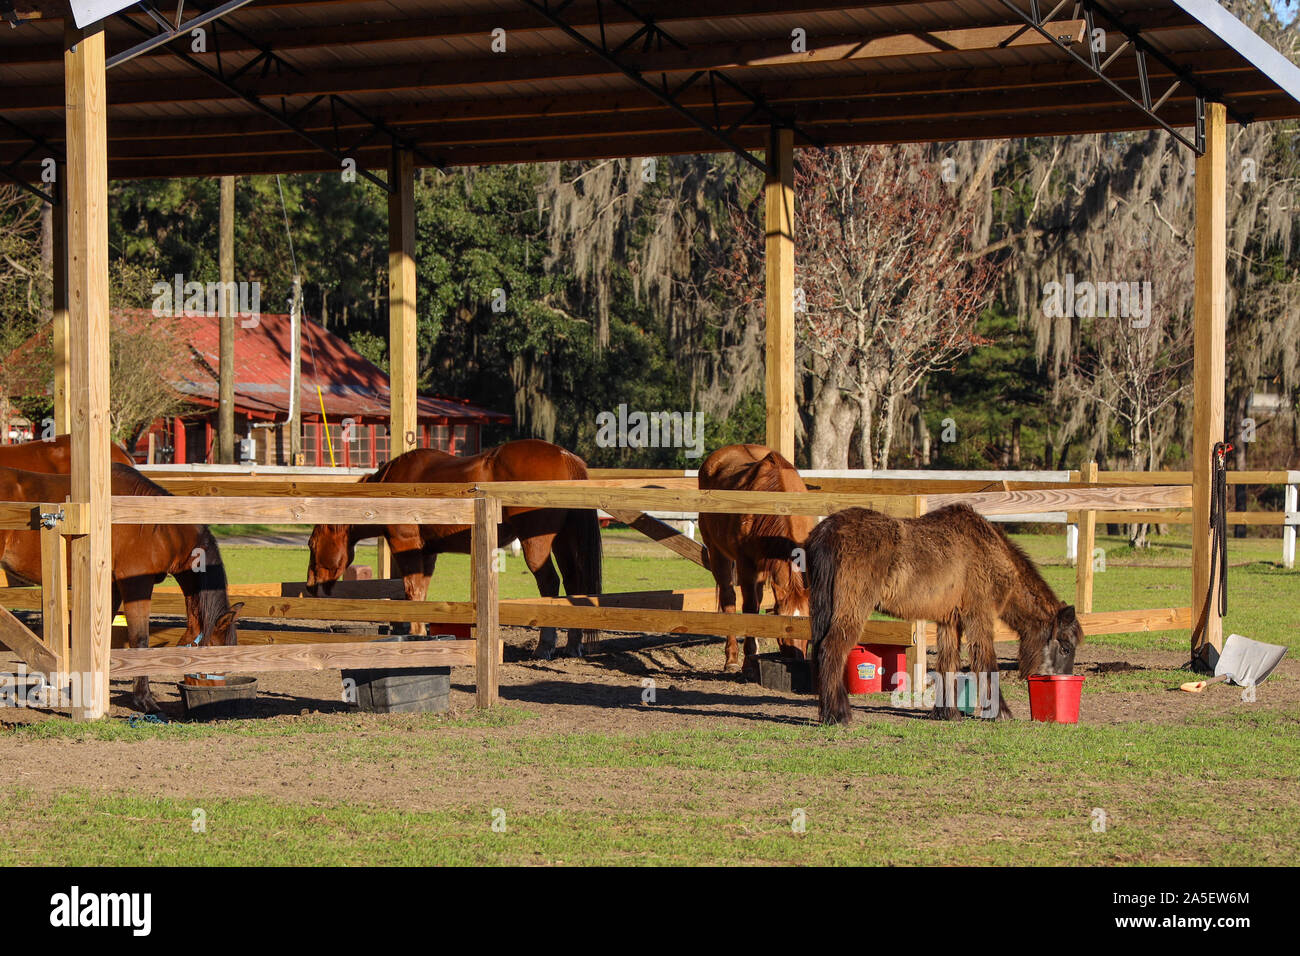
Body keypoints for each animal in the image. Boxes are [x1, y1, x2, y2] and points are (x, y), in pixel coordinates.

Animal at [0, 460, 243, 712]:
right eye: (215, 650)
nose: (215, 698)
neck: (159, 528)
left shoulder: (112, 587)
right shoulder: (137, 584)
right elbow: (139, 638)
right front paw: (144, 700)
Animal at [308, 439, 603, 658]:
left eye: (311, 544)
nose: (310, 585)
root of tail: (564, 456)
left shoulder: (407, 546)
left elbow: (412, 591)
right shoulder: (428, 552)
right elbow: (421, 593)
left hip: (536, 544)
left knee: (550, 583)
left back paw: (545, 646)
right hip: (563, 542)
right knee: (574, 584)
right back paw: (573, 644)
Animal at [702, 447, 811, 676]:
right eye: (784, 624)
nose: (797, 661)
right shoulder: (746, 565)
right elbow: (750, 608)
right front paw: (749, 660)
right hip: (718, 554)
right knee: (729, 598)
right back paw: (732, 659)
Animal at [806, 504, 1081, 723]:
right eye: (1066, 648)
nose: (1063, 681)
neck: (988, 551)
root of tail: (829, 529)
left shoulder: (950, 621)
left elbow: (948, 663)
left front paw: (946, 712)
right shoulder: (978, 616)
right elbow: (986, 661)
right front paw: (1001, 712)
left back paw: (828, 711)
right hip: (853, 611)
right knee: (831, 650)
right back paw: (838, 715)